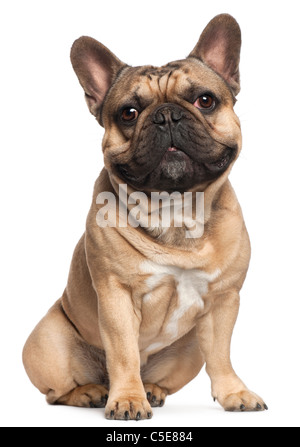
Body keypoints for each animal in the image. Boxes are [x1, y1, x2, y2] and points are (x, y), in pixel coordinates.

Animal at [22, 14, 268, 420]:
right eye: (129, 113)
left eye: (205, 100)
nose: (166, 115)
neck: (176, 211)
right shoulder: (116, 297)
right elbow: (123, 352)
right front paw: (127, 400)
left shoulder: (223, 301)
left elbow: (221, 354)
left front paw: (234, 392)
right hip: (48, 341)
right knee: (58, 392)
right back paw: (93, 393)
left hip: (189, 350)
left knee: (171, 371)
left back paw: (151, 389)